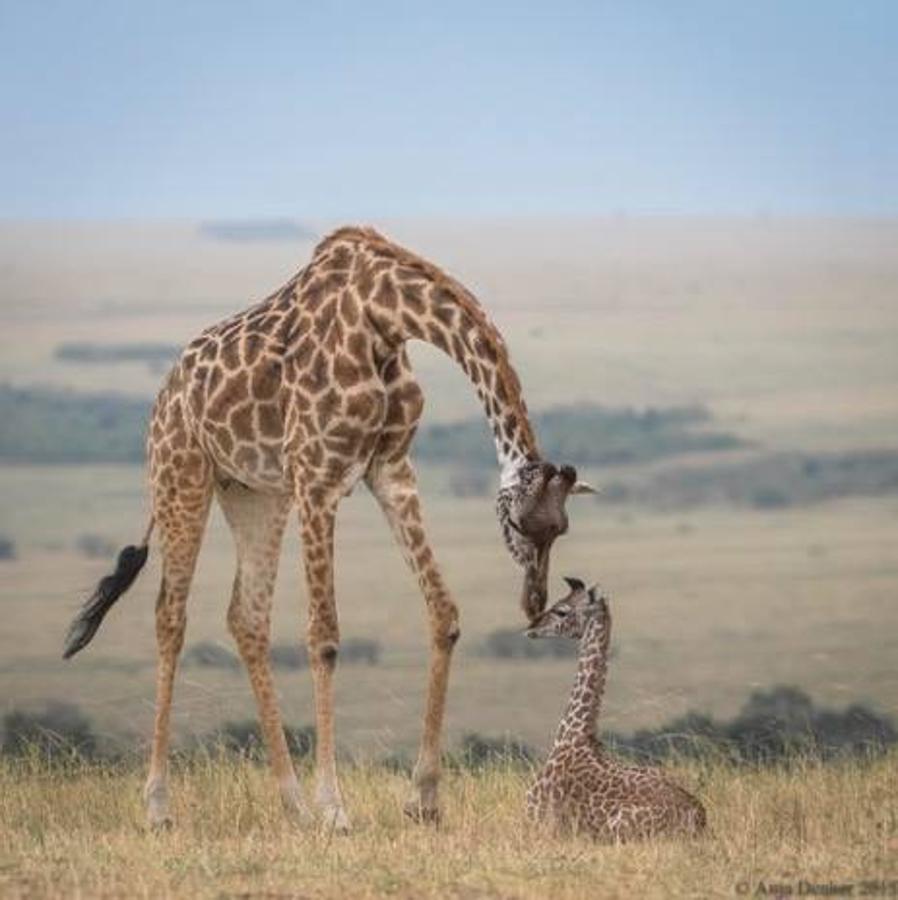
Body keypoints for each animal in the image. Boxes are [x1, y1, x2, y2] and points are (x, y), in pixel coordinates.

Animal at [62, 226, 594, 831]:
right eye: (517, 523)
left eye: (560, 529)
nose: (534, 602)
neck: (384, 317)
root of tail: (164, 396)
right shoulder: (317, 480)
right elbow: (324, 637)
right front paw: (336, 808)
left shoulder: (391, 470)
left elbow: (444, 614)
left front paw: (424, 799)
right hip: (181, 476)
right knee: (170, 616)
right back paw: (158, 806)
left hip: (255, 493)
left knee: (246, 618)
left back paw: (292, 804)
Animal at [525, 578, 707, 841]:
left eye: (562, 610)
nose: (531, 627)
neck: (573, 736)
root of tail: (698, 817)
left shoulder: (534, 820)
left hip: (617, 829)